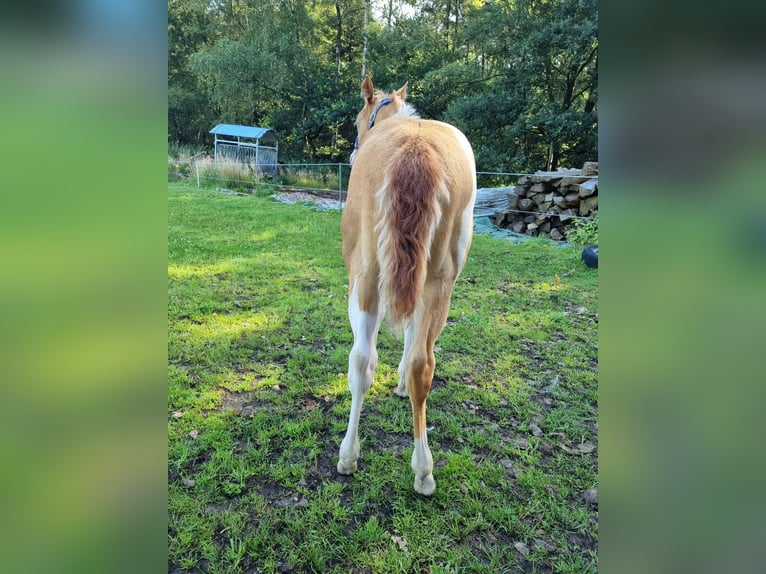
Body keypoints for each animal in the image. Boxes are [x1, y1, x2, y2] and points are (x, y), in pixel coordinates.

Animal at [340, 76, 476, 498]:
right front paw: (401, 383)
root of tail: (416, 148)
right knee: (422, 365)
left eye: (358, 121)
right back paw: (424, 472)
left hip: (367, 276)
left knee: (361, 360)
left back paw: (348, 457)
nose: (352, 152)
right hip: (438, 281)